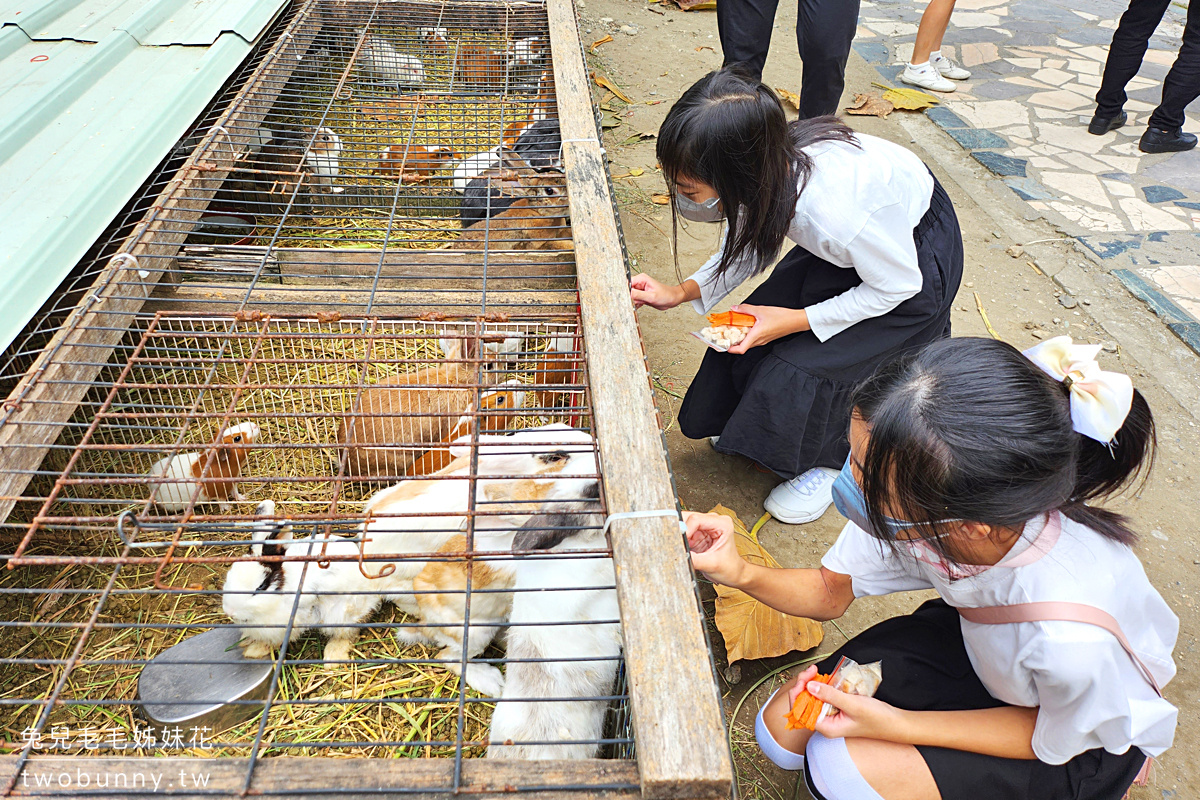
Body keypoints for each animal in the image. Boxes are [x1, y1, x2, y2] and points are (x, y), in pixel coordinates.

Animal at [216, 501, 403, 662]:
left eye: (261, 587)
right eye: (229, 576)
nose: (229, 611)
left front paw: (254, 651)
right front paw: (247, 642)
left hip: (342, 612)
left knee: (347, 632)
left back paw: (332, 658)